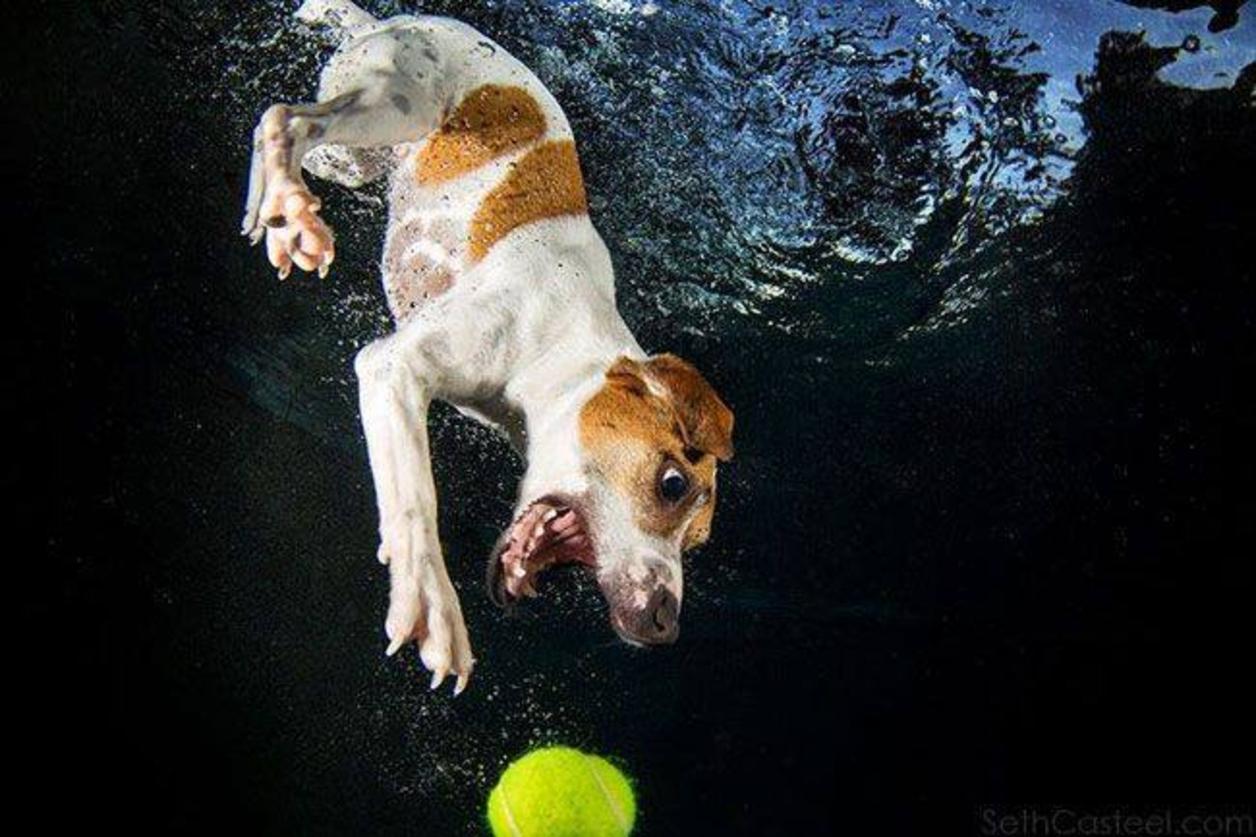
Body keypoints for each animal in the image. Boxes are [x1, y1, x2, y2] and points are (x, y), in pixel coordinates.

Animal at [243, 0, 733, 688]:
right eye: (672, 484)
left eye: (695, 543)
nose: (666, 624)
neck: (564, 343)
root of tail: (394, 17)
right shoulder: (393, 366)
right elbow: (416, 497)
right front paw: (430, 600)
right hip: (397, 99)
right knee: (287, 119)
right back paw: (292, 210)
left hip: (357, 155)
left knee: (284, 122)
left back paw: (285, 211)